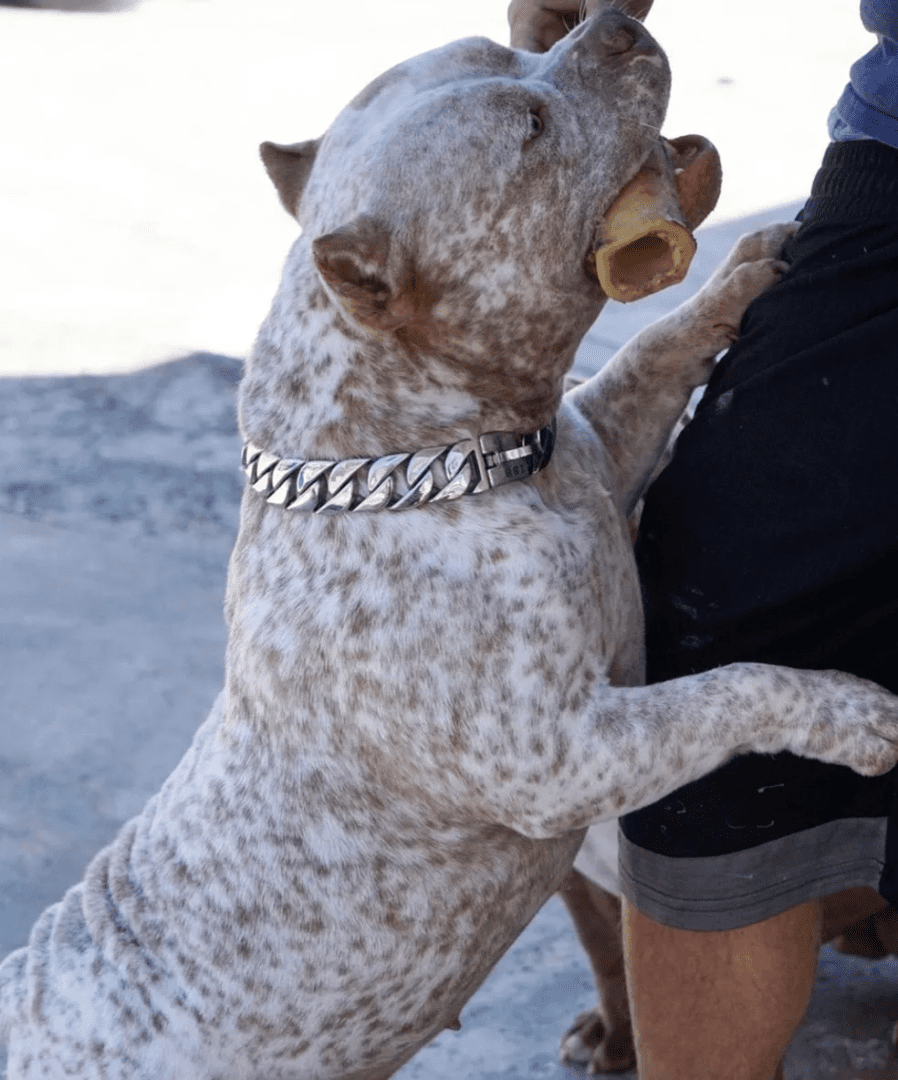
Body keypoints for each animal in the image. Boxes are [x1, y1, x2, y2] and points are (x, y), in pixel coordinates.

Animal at [1, 10, 898, 1080]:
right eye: (529, 127)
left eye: (509, 50)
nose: (614, 22)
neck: (420, 463)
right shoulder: (565, 756)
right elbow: (733, 688)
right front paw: (849, 711)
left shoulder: (603, 448)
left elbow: (650, 353)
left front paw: (741, 270)